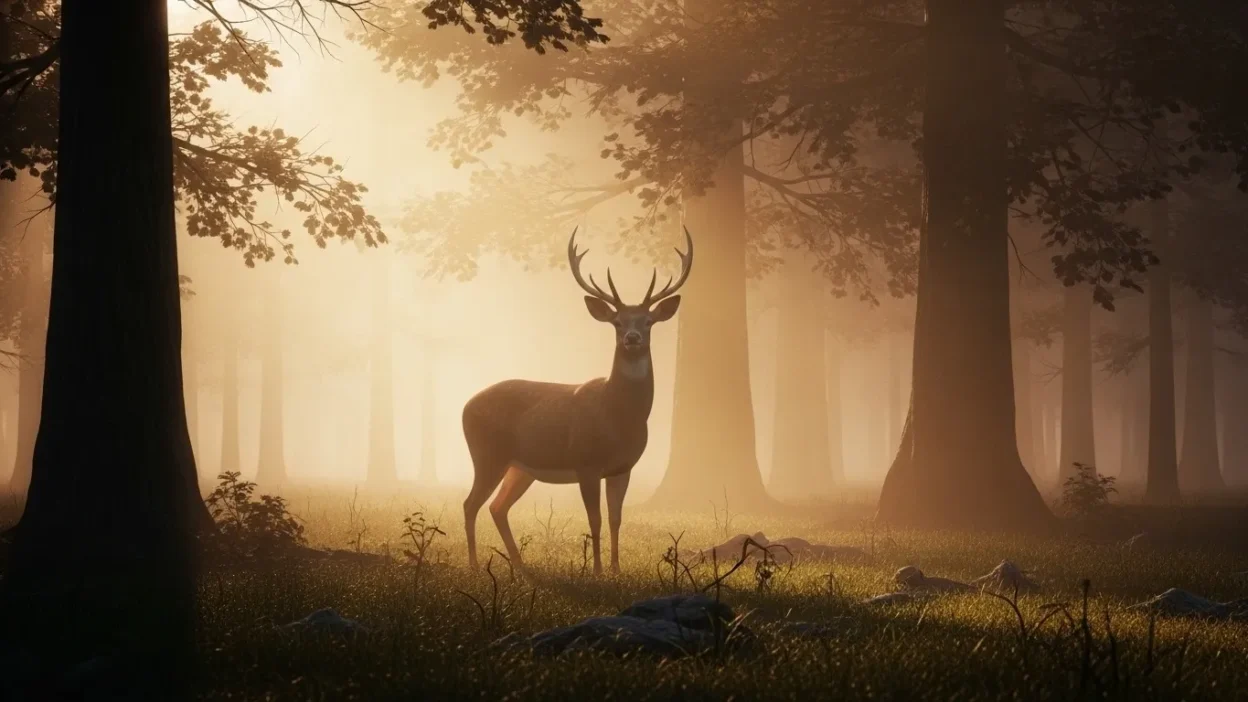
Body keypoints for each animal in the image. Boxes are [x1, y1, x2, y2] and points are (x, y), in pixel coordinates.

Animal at [461, 226, 693, 575]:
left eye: (648, 321)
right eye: (617, 322)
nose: (632, 338)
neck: (618, 416)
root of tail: (464, 405)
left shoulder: (623, 467)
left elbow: (615, 519)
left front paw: (616, 569)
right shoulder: (586, 462)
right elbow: (594, 520)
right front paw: (596, 571)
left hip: (521, 467)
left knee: (497, 507)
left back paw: (521, 566)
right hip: (487, 454)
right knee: (471, 503)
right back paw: (476, 566)